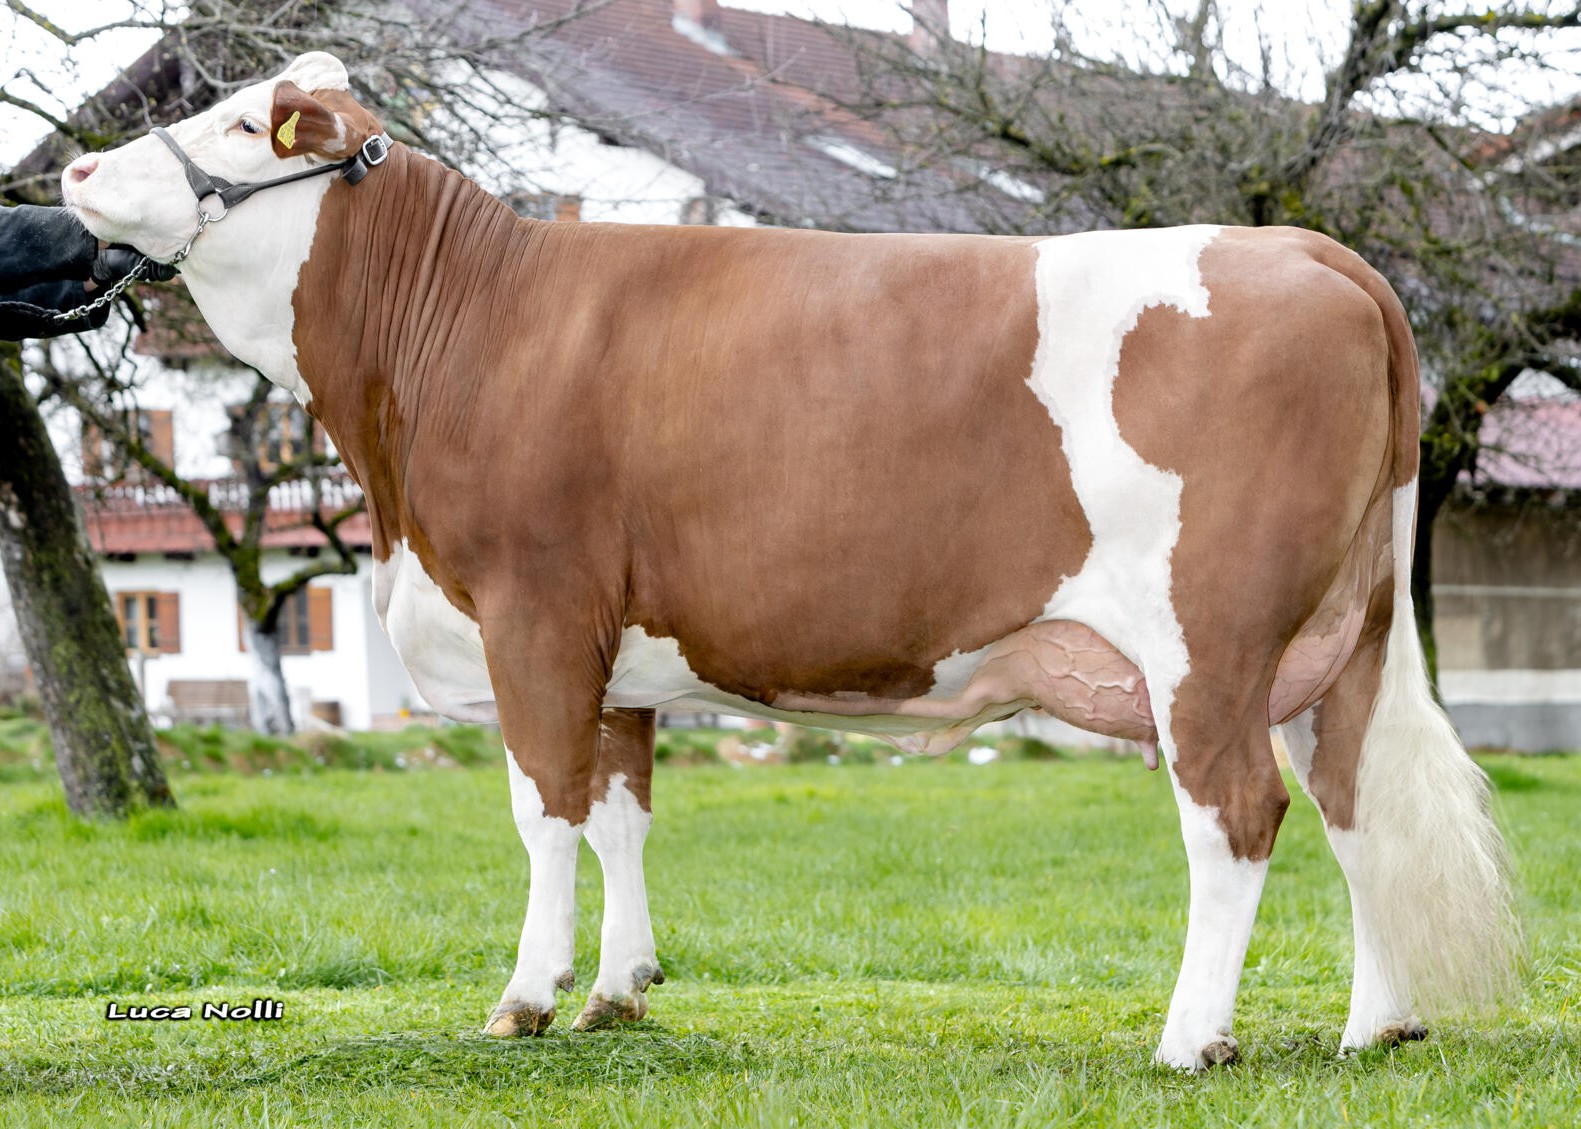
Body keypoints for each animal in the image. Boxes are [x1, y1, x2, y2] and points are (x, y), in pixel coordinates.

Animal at [62, 52, 1517, 1071]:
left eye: (242, 128)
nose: (71, 178)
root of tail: (1310, 249)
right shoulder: (618, 648)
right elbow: (621, 810)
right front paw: (617, 990)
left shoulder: (534, 606)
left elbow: (543, 809)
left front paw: (525, 997)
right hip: (1340, 642)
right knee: (1351, 801)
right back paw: (1375, 1026)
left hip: (1206, 641)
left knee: (1239, 814)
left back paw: (1188, 1038)